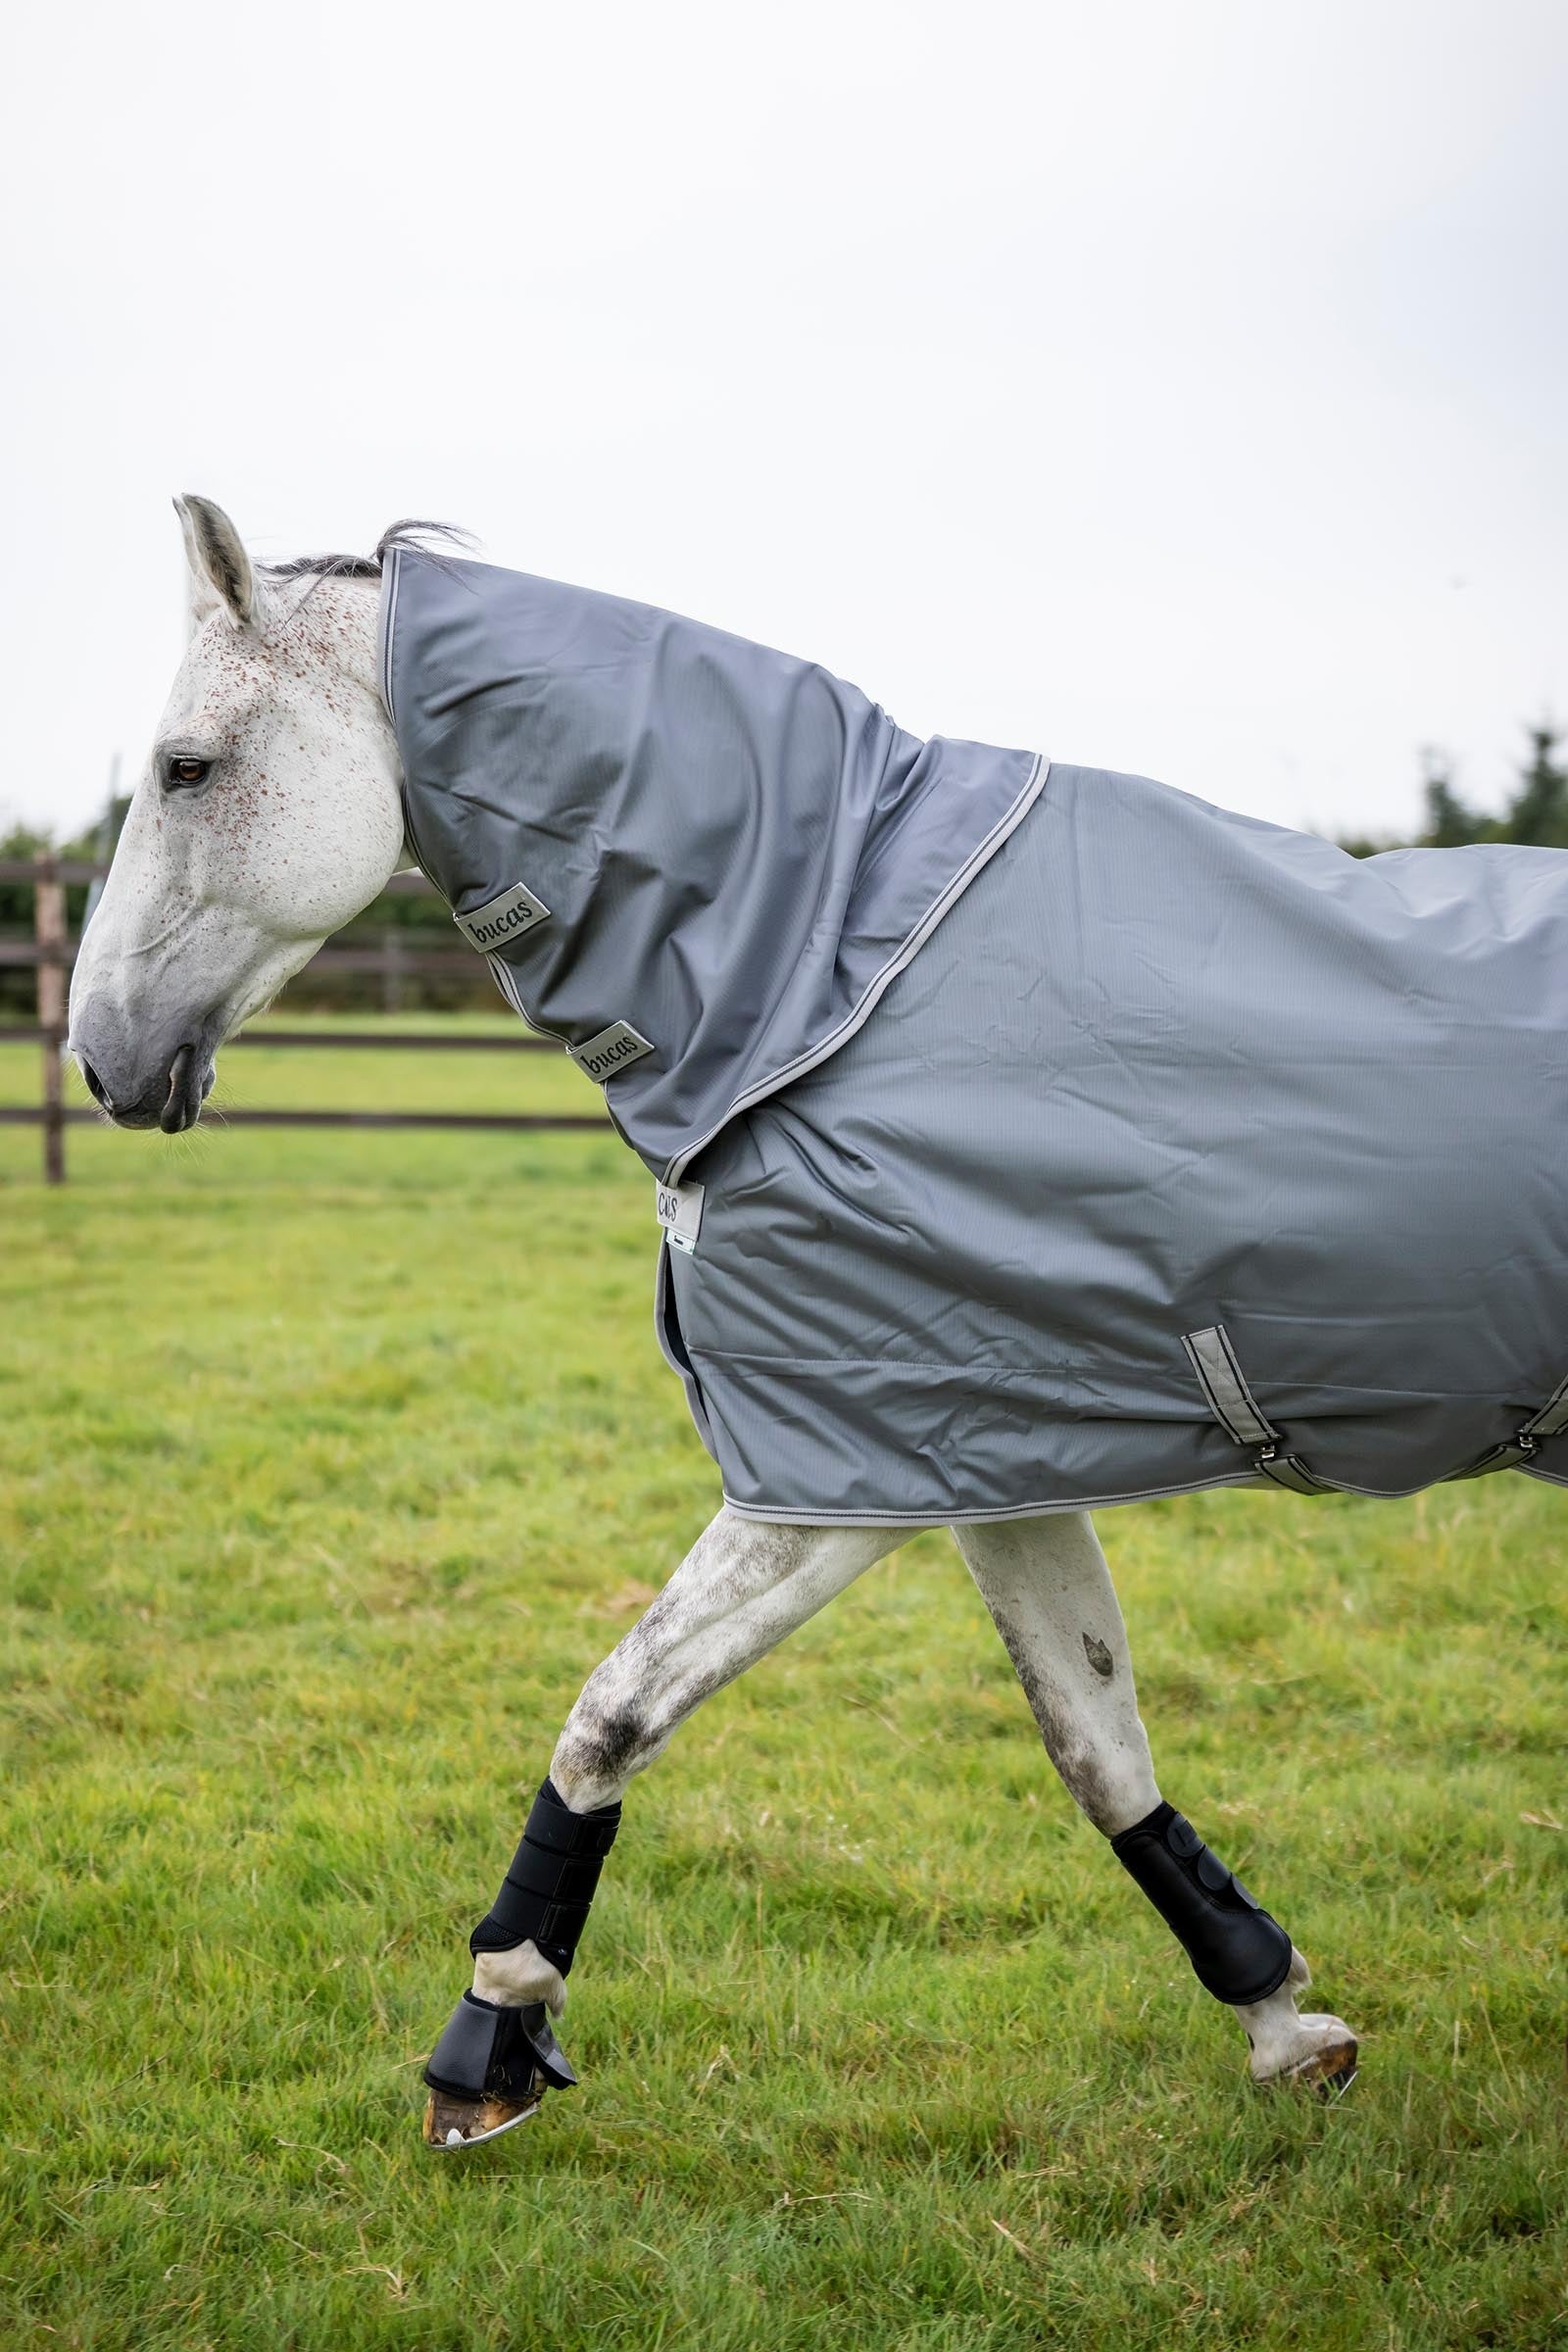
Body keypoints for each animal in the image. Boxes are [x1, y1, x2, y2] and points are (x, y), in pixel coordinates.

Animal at [98, 488, 1568, 2146]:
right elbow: (1096, 1745)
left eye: (186, 768)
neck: (829, 985)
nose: (100, 1055)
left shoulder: (826, 1484)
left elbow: (612, 1713)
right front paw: (1280, 2019)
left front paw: (492, 2036)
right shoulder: (981, 1455)